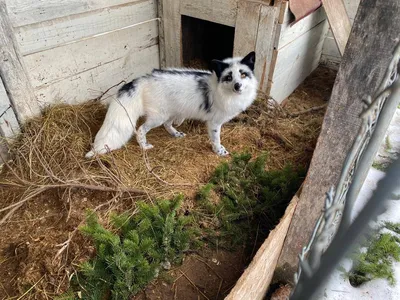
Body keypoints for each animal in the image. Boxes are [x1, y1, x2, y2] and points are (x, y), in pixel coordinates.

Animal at [85, 51, 258, 159]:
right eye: (229, 77)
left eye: (243, 74)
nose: (237, 86)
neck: (224, 92)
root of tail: (144, 79)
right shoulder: (214, 123)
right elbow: (216, 140)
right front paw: (219, 151)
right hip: (158, 117)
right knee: (140, 129)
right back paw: (144, 146)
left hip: (173, 113)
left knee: (168, 125)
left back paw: (176, 134)